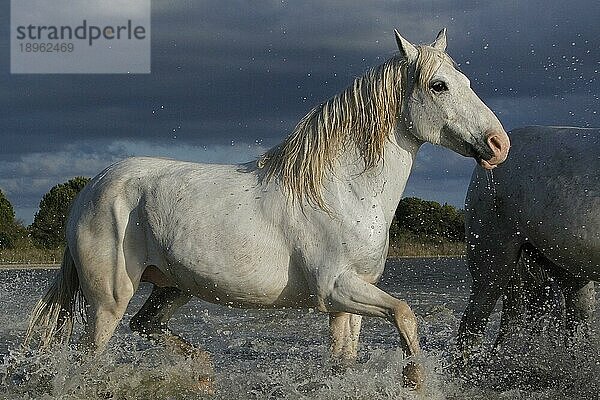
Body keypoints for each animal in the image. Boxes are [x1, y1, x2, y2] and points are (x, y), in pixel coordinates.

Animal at [25, 28, 508, 390]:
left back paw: (203, 370)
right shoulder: (335, 289)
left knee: (146, 325)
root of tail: (90, 191)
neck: (342, 192)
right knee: (92, 357)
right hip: (109, 300)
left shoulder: (348, 301)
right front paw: (414, 378)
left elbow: (347, 359)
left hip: (174, 286)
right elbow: (405, 314)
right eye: (438, 86)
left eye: (466, 81)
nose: (498, 144)